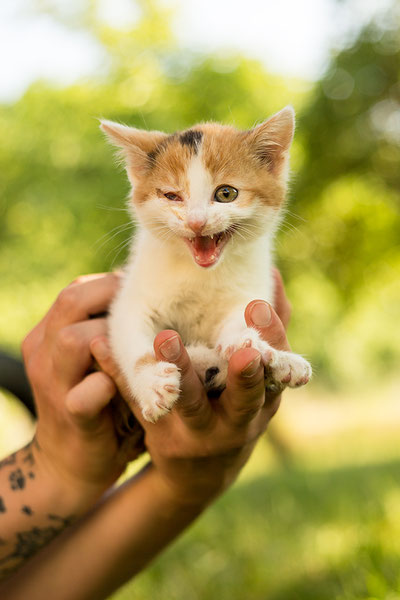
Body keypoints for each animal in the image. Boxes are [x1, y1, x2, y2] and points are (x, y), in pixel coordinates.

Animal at [101, 108, 312, 424]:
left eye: (226, 194)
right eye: (172, 196)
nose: (196, 222)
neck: (200, 273)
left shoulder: (250, 287)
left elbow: (240, 315)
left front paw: (245, 342)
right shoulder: (130, 300)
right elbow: (132, 339)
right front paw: (151, 383)